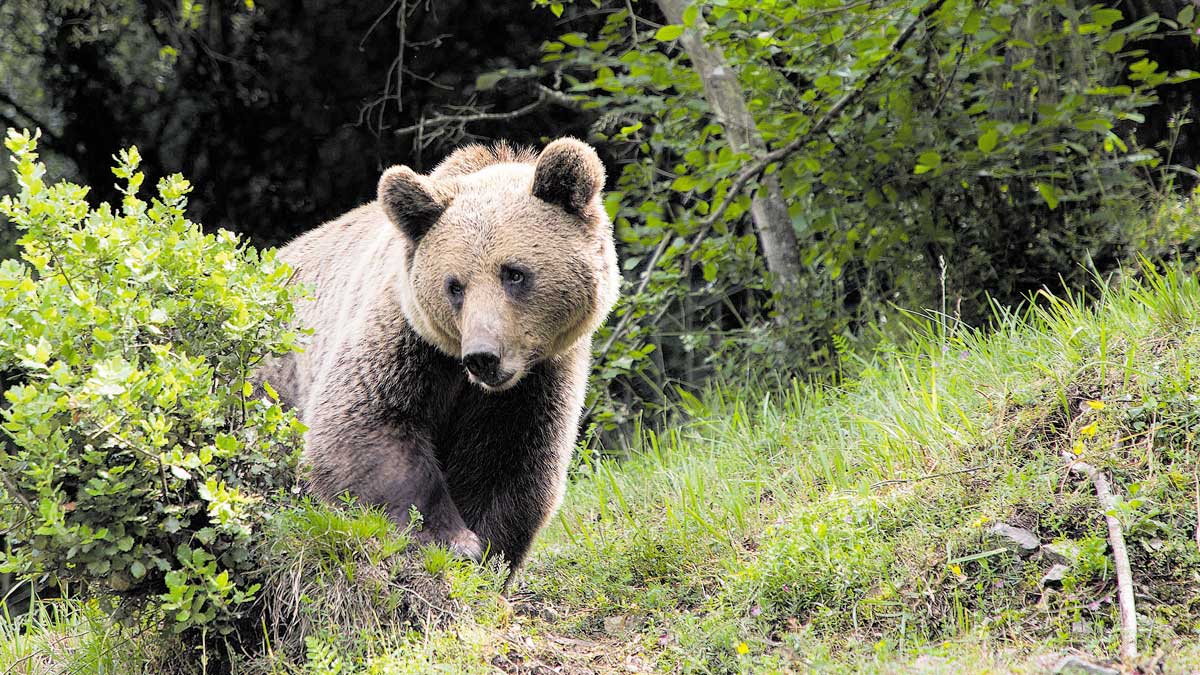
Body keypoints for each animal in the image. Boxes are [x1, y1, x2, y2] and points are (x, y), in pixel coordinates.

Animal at [260, 138, 619, 566]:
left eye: (514, 273)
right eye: (455, 285)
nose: (483, 357)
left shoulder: (537, 381)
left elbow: (509, 461)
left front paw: (487, 549)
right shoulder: (405, 342)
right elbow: (367, 425)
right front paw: (451, 539)